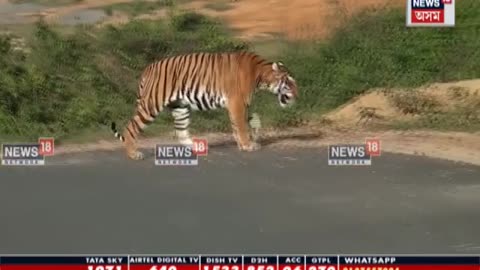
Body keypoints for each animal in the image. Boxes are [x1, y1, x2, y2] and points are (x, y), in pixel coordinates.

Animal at [110, 51, 296, 160]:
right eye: (288, 82)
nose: (297, 94)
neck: (260, 75)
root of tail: (148, 68)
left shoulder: (239, 104)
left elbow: (240, 125)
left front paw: (244, 143)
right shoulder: (238, 102)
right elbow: (241, 125)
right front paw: (247, 145)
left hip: (180, 106)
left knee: (181, 131)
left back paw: (196, 147)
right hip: (151, 105)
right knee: (131, 127)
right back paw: (134, 154)